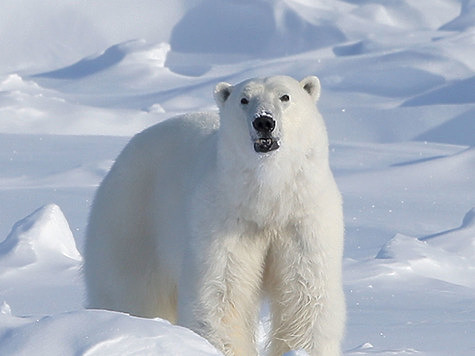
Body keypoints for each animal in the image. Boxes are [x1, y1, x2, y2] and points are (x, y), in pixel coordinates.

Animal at [84, 76, 346, 356]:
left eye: (285, 97)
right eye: (244, 99)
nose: (264, 122)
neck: (266, 196)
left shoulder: (301, 218)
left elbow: (305, 294)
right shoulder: (224, 217)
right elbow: (222, 293)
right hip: (132, 221)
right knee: (127, 291)